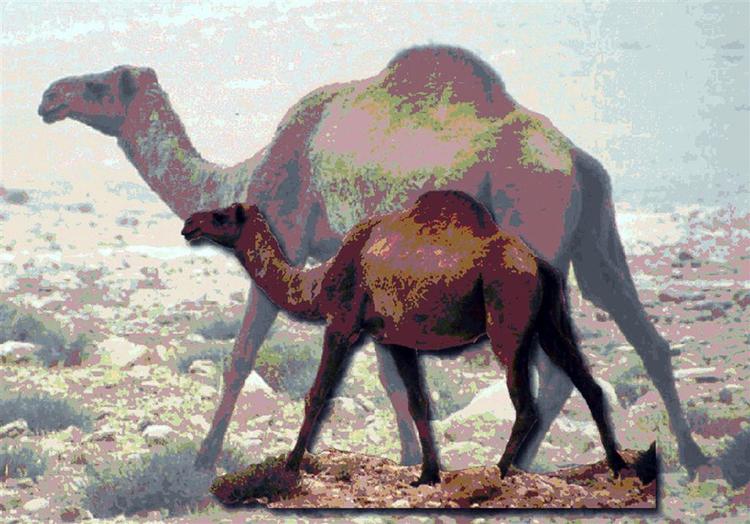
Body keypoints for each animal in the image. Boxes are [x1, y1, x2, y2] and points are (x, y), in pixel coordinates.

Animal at [181, 191, 651, 486]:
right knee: (588, 383)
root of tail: (536, 262)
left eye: (221, 216)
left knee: (526, 404)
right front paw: (426, 475)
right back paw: (616, 464)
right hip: (550, 319)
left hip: (508, 316)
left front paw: (291, 465)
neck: (320, 281)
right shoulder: (395, 338)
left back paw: (498, 472)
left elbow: (317, 395)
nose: (189, 224)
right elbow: (419, 402)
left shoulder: (341, 323)